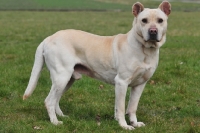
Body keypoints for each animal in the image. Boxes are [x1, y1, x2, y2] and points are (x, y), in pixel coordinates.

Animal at [23, 0, 170, 130]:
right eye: (144, 20)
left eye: (160, 20)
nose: (153, 31)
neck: (145, 50)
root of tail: (48, 38)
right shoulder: (121, 82)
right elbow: (121, 108)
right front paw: (124, 126)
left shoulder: (140, 84)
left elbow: (132, 107)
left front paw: (134, 123)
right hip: (61, 77)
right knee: (49, 101)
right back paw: (55, 122)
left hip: (68, 80)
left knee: (56, 99)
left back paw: (62, 116)